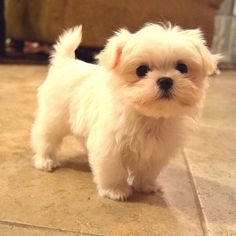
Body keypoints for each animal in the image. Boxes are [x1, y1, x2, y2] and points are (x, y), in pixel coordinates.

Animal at [31, 23, 219, 201]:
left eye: (182, 68)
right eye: (141, 70)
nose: (165, 80)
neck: (149, 117)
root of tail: (65, 62)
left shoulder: (157, 150)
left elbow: (148, 170)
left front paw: (146, 185)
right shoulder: (110, 147)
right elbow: (113, 170)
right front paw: (116, 191)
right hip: (54, 117)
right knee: (45, 137)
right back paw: (45, 160)